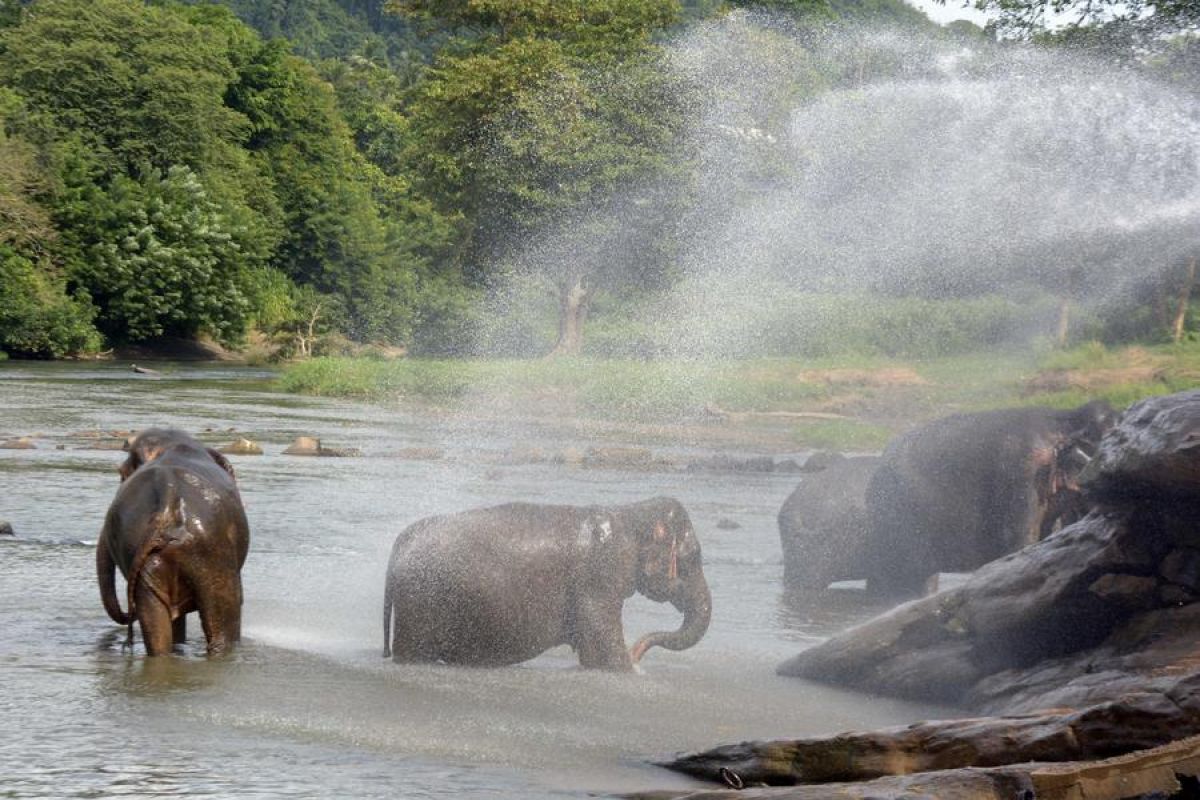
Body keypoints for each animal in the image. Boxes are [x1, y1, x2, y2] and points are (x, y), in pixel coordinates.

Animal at [95, 429, 250, 662]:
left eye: (121, 473)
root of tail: (166, 509)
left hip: (152, 561)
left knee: (156, 626)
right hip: (212, 557)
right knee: (224, 627)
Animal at [381, 496, 710, 671]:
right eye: (695, 557)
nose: (638, 651)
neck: (629, 514)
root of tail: (398, 544)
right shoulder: (597, 579)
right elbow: (605, 650)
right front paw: (632, 670)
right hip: (421, 604)